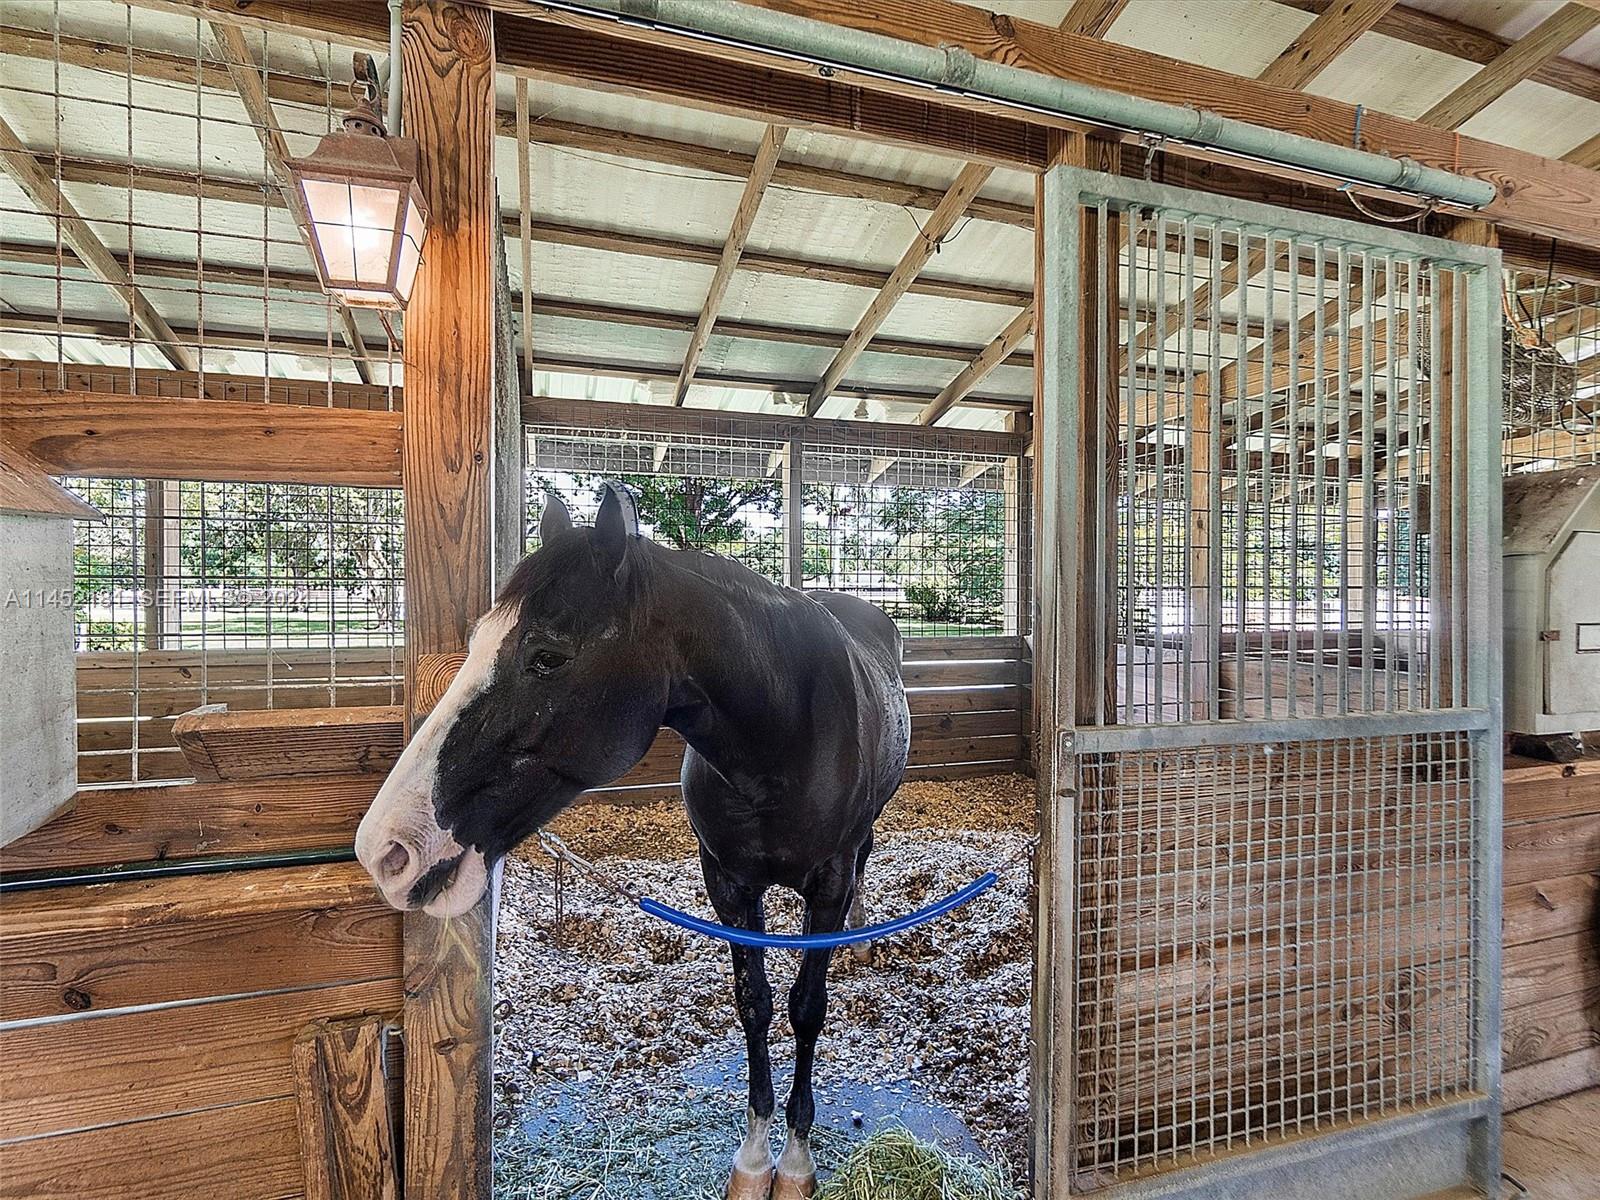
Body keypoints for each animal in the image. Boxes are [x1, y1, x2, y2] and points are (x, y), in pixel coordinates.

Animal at [355, 481, 912, 1199]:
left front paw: (794, 1163)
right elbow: (754, 1005)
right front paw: (754, 1158)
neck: (782, 733)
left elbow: (807, 1009)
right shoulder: (728, 884)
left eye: (547, 656)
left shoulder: (827, 883)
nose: (388, 849)